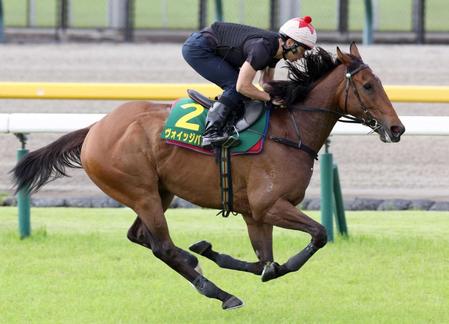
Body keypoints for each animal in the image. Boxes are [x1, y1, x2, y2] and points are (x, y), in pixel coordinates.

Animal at [11, 43, 402, 308]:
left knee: (142, 237)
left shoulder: (255, 213)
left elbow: (265, 262)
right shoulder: (270, 205)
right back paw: (218, 291)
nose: (397, 128)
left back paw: (197, 265)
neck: (290, 130)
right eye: (368, 86)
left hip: (158, 192)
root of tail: (95, 128)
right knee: (162, 246)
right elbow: (316, 236)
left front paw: (212, 251)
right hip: (141, 192)